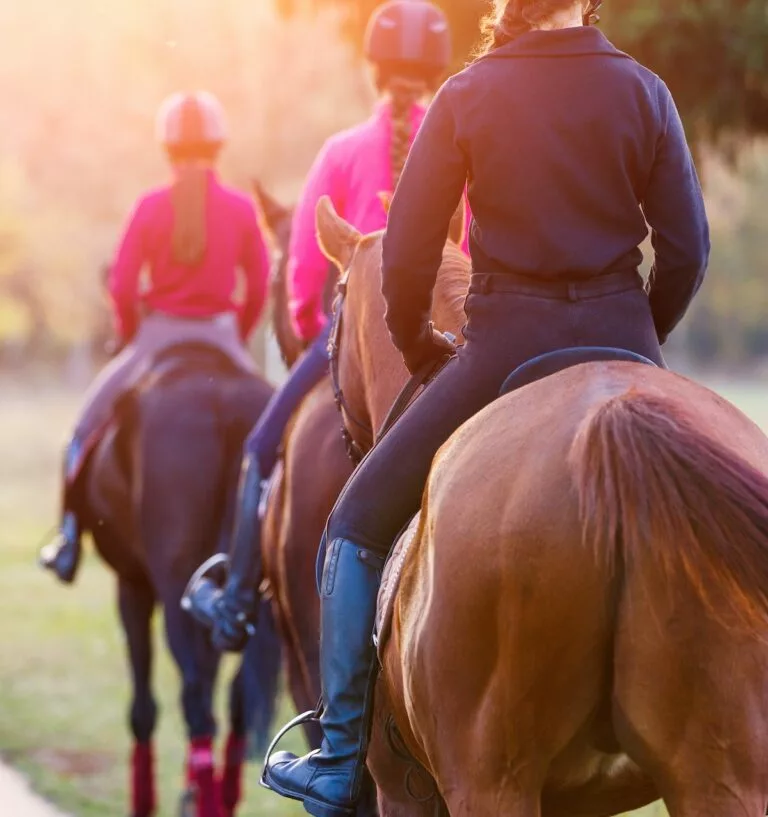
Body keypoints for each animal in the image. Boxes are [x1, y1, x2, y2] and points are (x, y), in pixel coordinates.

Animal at [77, 344, 276, 816]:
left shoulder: (131, 586)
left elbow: (143, 708)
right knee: (235, 699)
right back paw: (220, 794)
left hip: (171, 594)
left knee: (197, 704)